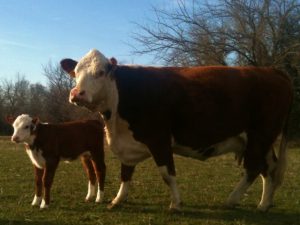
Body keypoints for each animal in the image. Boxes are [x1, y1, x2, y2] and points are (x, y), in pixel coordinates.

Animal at [61, 48, 292, 211]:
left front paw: (176, 204)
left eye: (100, 73)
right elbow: (125, 173)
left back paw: (233, 200)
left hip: (260, 135)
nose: (77, 93)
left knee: (254, 168)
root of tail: (271, 70)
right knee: (269, 168)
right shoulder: (127, 143)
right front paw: (117, 200)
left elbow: (167, 173)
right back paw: (264, 204)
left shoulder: (159, 139)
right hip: (264, 140)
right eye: (76, 72)